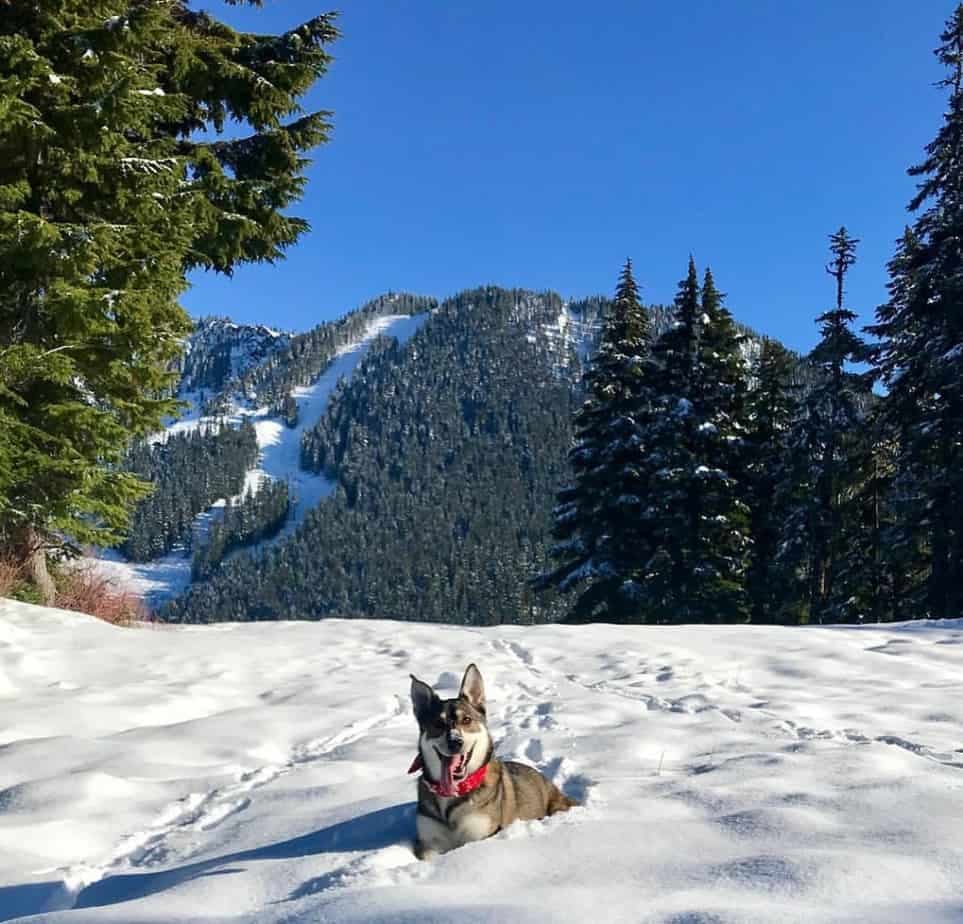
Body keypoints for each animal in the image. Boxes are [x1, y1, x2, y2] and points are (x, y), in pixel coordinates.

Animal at [408, 660, 576, 856]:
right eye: (437, 724)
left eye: (466, 720)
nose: (455, 742)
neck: (454, 793)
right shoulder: (428, 845)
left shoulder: (481, 834)